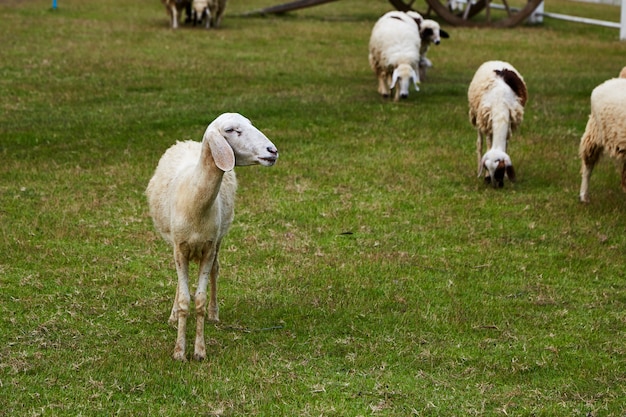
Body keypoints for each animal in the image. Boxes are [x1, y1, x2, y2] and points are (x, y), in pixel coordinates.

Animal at [146, 112, 278, 360]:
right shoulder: (180, 247)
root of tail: (187, 141)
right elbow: (184, 299)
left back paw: (214, 314)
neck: (195, 201)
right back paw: (173, 315)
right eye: (231, 130)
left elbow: (199, 299)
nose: (272, 151)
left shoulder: (208, 248)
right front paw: (179, 351)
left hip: (219, 238)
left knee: (216, 269)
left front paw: (199, 351)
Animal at [466, 59, 524, 187]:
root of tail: (496, 60)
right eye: (486, 167)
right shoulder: (487, 123)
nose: (496, 185)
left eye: (500, 169)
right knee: (479, 143)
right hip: (477, 117)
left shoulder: (509, 125)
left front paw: (507, 176)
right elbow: (487, 145)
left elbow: (506, 146)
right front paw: (485, 176)